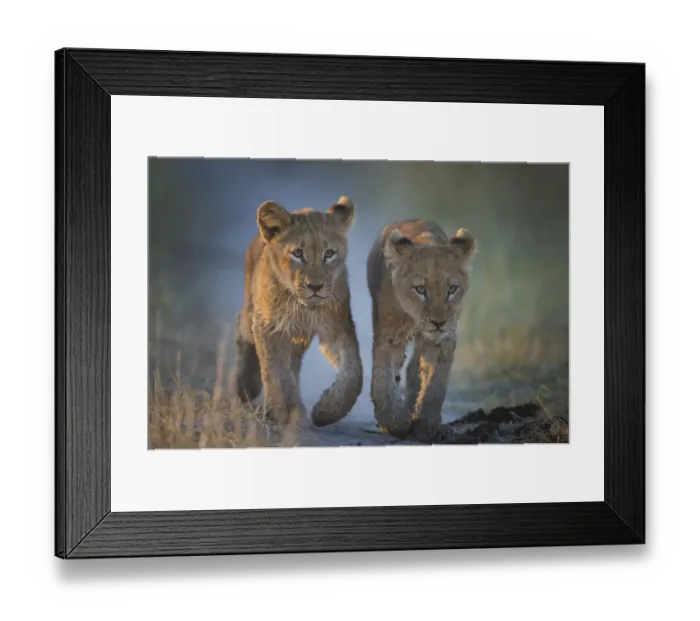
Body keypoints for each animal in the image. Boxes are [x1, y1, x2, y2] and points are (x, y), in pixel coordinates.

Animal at [232, 196, 363, 429]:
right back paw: (245, 386)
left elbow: (353, 372)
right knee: (241, 325)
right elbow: (276, 372)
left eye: (329, 254)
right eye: (298, 254)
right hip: (252, 316)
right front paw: (278, 411)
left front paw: (326, 411)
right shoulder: (269, 328)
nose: (315, 286)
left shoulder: (336, 327)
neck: (302, 307)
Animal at [366, 219, 477, 442]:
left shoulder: (442, 340)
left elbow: (435, 385)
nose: (438, 322)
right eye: (420, 289)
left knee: (413, 369)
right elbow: (382, 381)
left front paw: (427, 425)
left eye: (452, 289)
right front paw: (394, 423)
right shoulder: (389, 334)